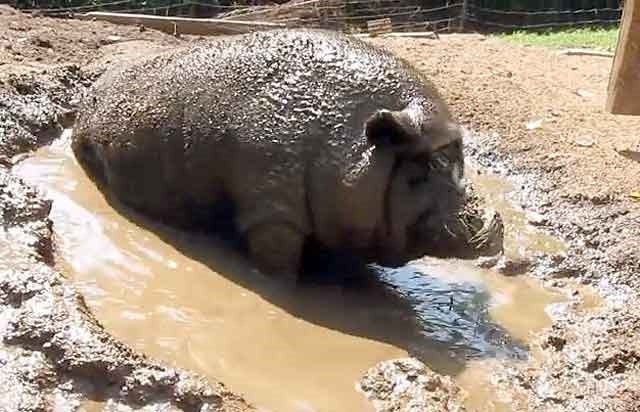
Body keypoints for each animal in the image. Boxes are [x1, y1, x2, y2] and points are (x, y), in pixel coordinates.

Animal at [71, 28, 500, 280]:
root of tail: (86, 100)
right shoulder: (270, 210)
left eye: (461, 159)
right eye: (430, 166)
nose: (495, 227)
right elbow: (279, 265)